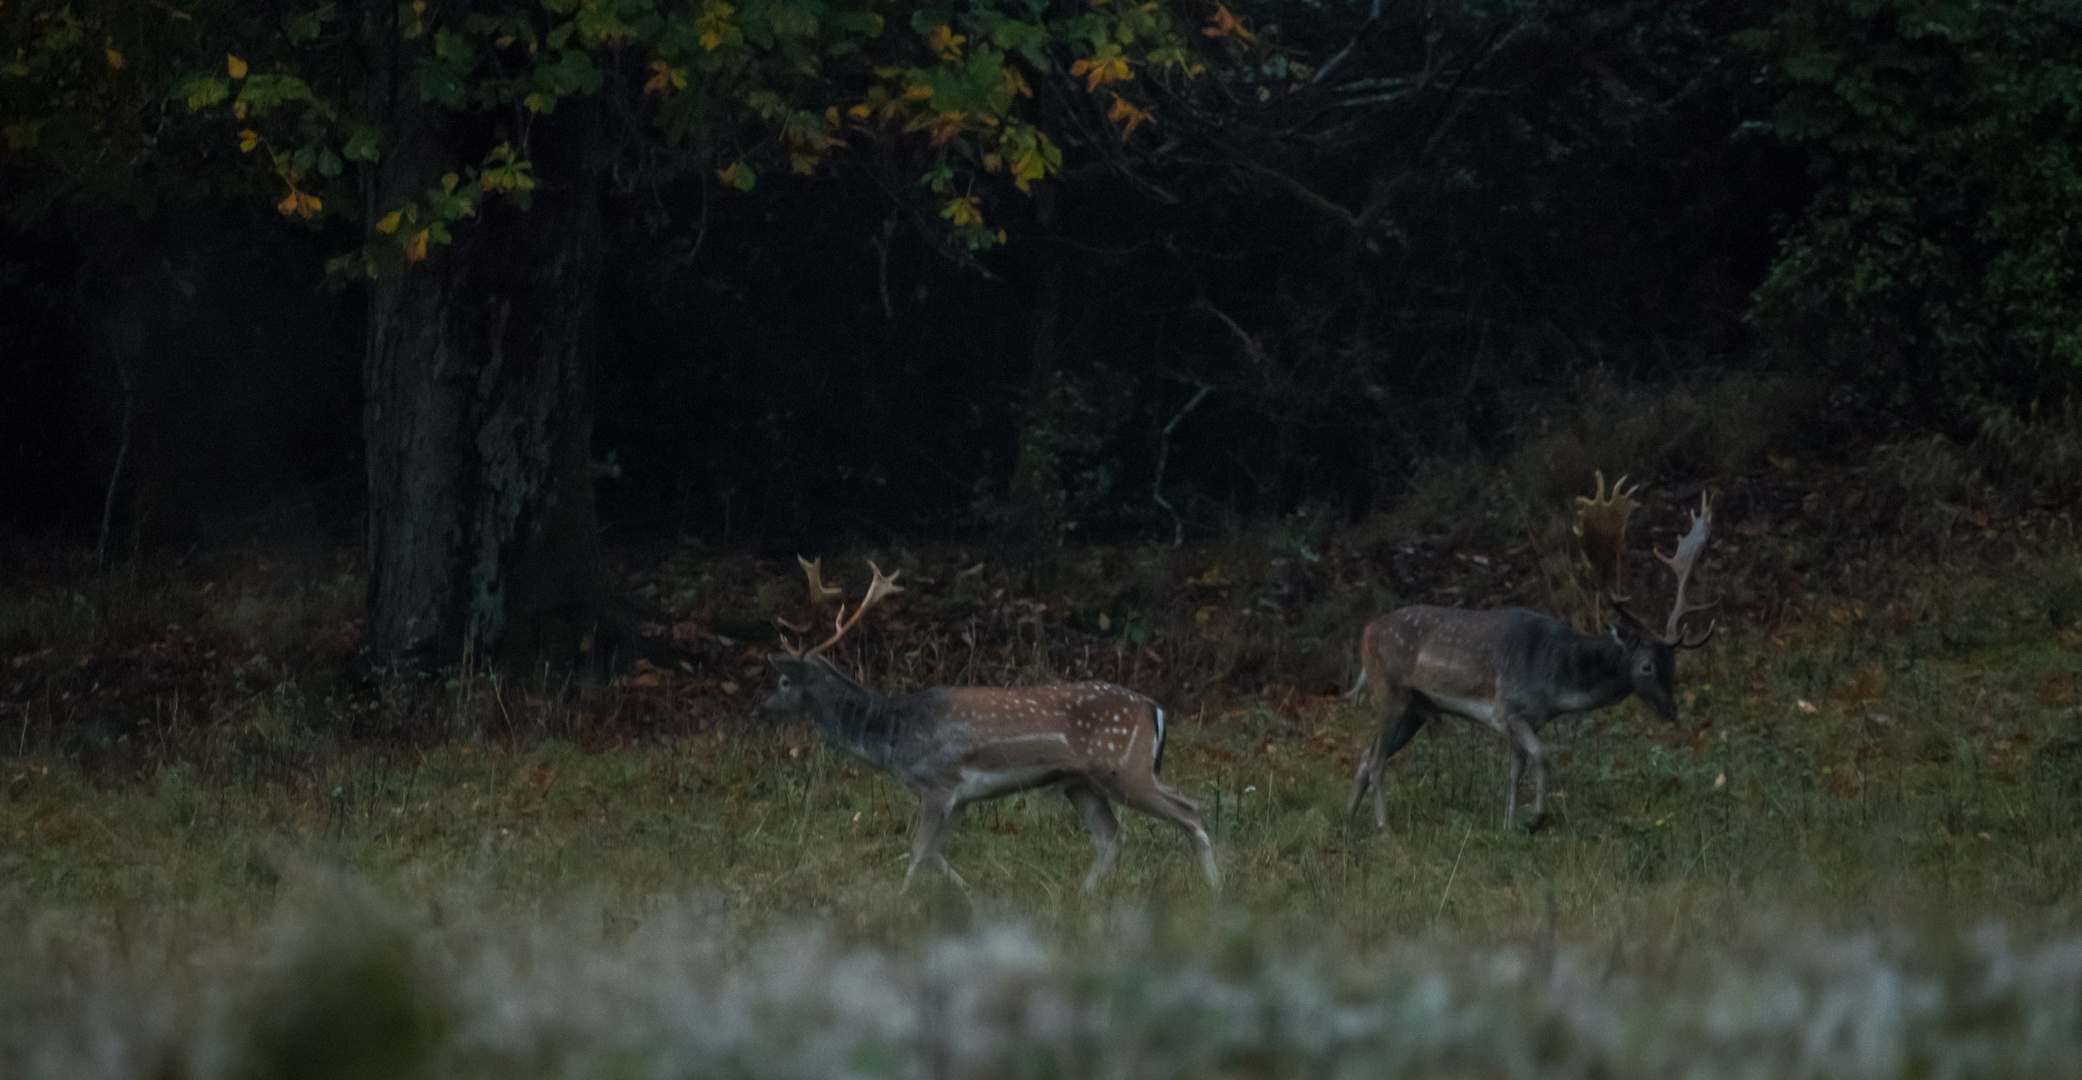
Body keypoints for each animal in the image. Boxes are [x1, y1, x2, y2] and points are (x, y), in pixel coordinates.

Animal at [762, 561, 1215, 890]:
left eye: (783, 681)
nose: (758, 709)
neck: (893, 735)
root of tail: (1155, 709)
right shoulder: (960, 797)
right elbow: (934, 854)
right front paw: (969, 896)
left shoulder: (938, 783)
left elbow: (918, 851)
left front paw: (900, 900)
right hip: (1080, 781)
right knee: (1112, 836)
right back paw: (1084, 896)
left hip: (1124, 767)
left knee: (1190, 811)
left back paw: (1214, 890)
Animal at [1340, 478, 1715, 832]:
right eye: (1647, 666)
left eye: (1673, 665)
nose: (1671, 712)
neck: (1555, 685)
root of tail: (1366, 631)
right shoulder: (1509, 708)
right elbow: (1544, 755)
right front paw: (1536, 818)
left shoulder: (1525, 720)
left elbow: (1514, 771)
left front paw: (1508, 825)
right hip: (1391, 694)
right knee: (1376, 759)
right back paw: (1385, 829)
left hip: (1416, 709)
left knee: (1367, 756)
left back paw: (1347, 823)